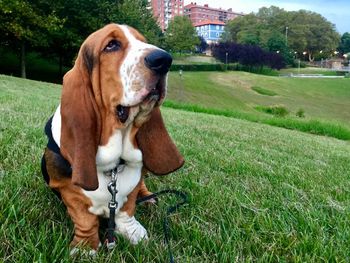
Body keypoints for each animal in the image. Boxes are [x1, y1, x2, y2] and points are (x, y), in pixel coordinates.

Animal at [41, 23, 185, 255]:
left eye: (143, 41)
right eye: (111, 45)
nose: (164, 60)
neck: (114, 166)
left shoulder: (132, 188)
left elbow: (127, 208)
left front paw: (132, 231)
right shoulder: (66, 189)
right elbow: (84, 218)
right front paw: (85, 247)